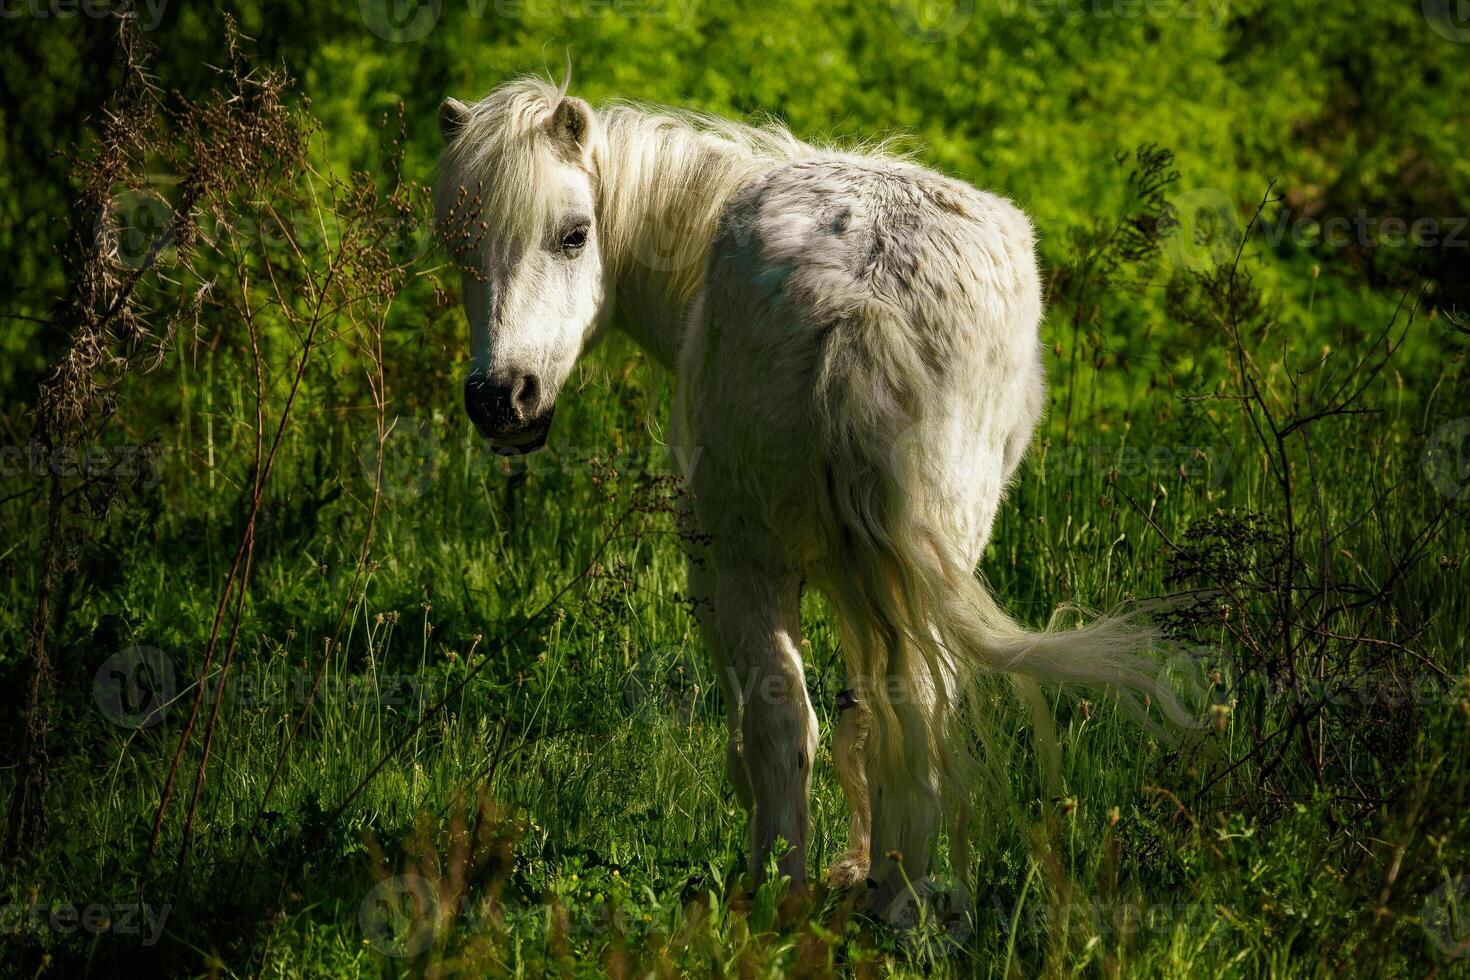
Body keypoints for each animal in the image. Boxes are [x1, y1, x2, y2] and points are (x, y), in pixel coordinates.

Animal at [432, 78, 1181, 910]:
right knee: (916, 706)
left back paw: (778, 892)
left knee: (784, 722)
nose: (502, 399)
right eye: (457, 246)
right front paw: (859, 862)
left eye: (573, 235)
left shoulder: (715, 570)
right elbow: (868, 714)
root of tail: (864, 304)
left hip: (749, 561)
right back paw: (896, 898)